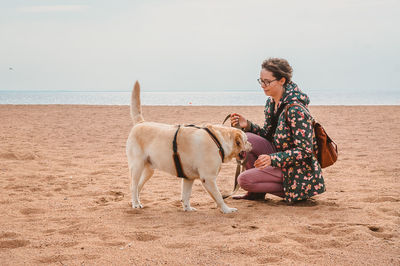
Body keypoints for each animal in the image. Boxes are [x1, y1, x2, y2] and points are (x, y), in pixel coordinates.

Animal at [126, 82, 250, 213]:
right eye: (246, 140)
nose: (251, 145)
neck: (218, 140)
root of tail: (140, 123)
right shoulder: (208, 178)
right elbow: (219, 197)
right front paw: (227, 210)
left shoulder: (188, 178)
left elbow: (186, 195)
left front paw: (187, 208)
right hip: (137, 166)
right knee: (133, 186)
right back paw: (135, 203)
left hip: (149, 169)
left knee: (138, 186)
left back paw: (136, 201)